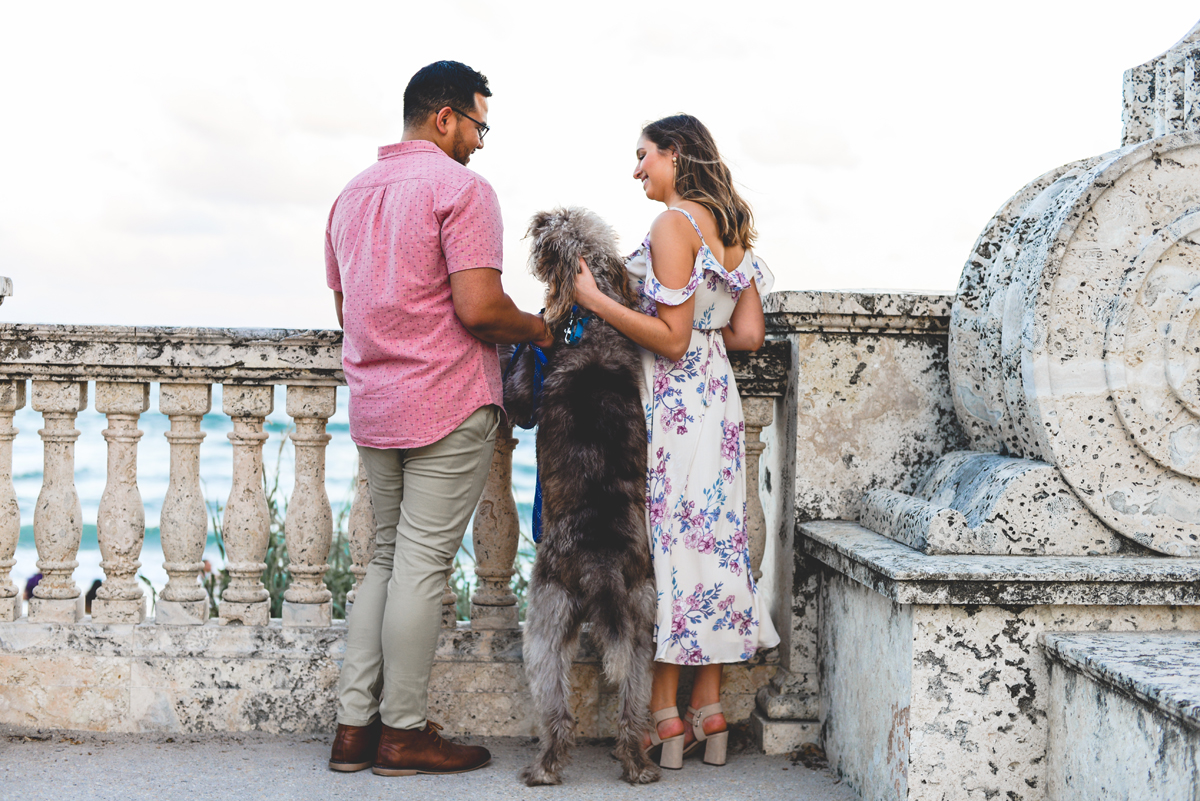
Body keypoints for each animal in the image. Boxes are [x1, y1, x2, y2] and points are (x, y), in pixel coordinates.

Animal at [504, 206, 662, 786]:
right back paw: (636, 763)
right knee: (632, 705)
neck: (591, 323)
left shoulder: (525, 394)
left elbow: (519, 383)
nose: (539, 217)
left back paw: (546, 767)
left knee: (559, 710)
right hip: (641, 625)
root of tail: (602, 569)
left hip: (546, 618)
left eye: (563, 223)